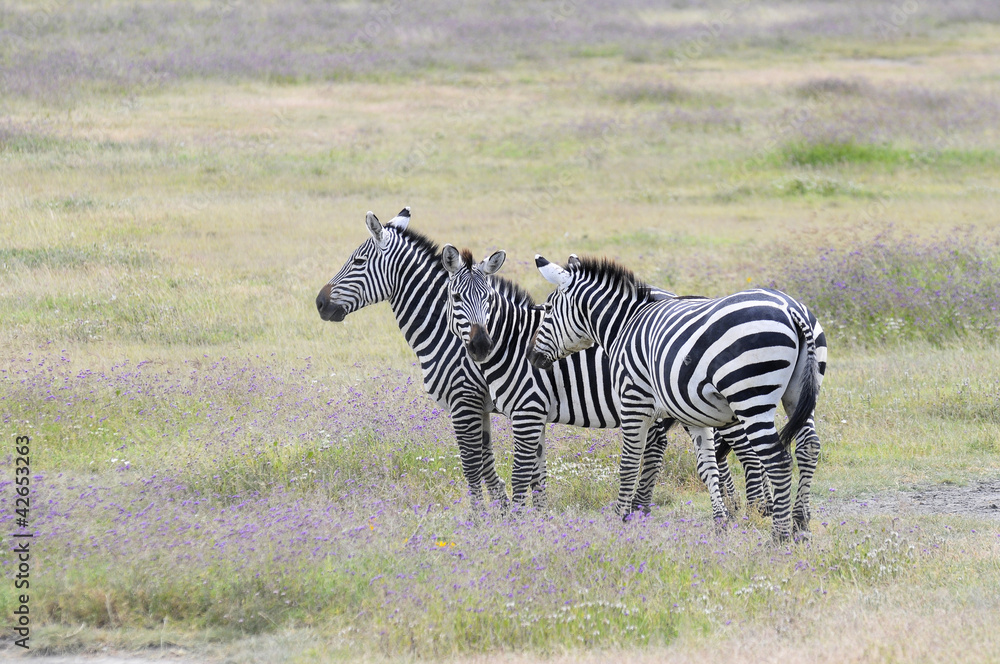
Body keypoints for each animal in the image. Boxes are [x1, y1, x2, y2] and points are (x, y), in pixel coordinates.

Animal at [440, 244, 772, 517]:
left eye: (488, 298)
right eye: (455, 298)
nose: (481, 346)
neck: (511, 343)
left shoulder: (522, 410)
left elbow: (511, 470)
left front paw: (513, 523)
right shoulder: (530, 415)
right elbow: (536, 472)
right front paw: (537, 519)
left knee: (751, 453)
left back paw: (756, 512)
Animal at [528, 255, 825, 542]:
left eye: (549, 310)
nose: (532, 357)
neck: (624, 325)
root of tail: (791, 309)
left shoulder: (633, 399)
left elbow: (629, 462)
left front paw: (621, 518)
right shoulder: (693, 415)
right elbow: (707, 467)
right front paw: (720, 523)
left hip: (750, 397)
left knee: (777, 460)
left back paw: (779, 535)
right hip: (797, 395)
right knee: (808, 447)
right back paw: (800, 523)